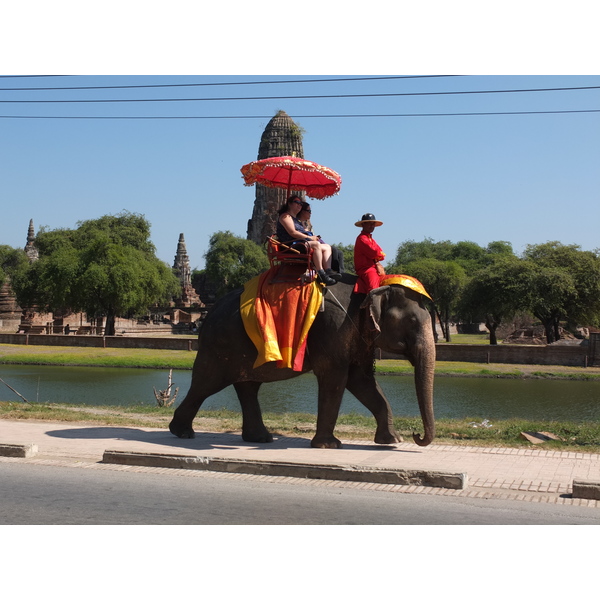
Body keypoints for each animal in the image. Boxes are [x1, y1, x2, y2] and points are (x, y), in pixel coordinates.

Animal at [169, 274, 436, 448]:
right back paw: (181, 433)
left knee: (248, 387)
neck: (369, 288)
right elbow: (336, 378)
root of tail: (207, 313)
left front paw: (392, 441)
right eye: (413, 321)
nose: (416, 435)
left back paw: (260, 438)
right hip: (217, 347)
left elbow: (362, 381)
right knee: (205, 384)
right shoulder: (334, 327)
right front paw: (329, 445)